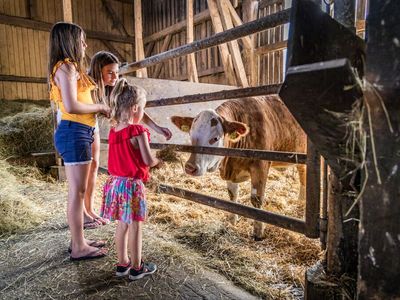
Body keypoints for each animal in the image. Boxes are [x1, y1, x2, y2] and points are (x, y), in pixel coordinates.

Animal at [170, 95, 304, 240]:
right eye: (191, 135)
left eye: (215, 138)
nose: (190, 167)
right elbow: (232, 195)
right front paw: (232, 221)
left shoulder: (261, 165)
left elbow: (257, 199)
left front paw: (258, 233)